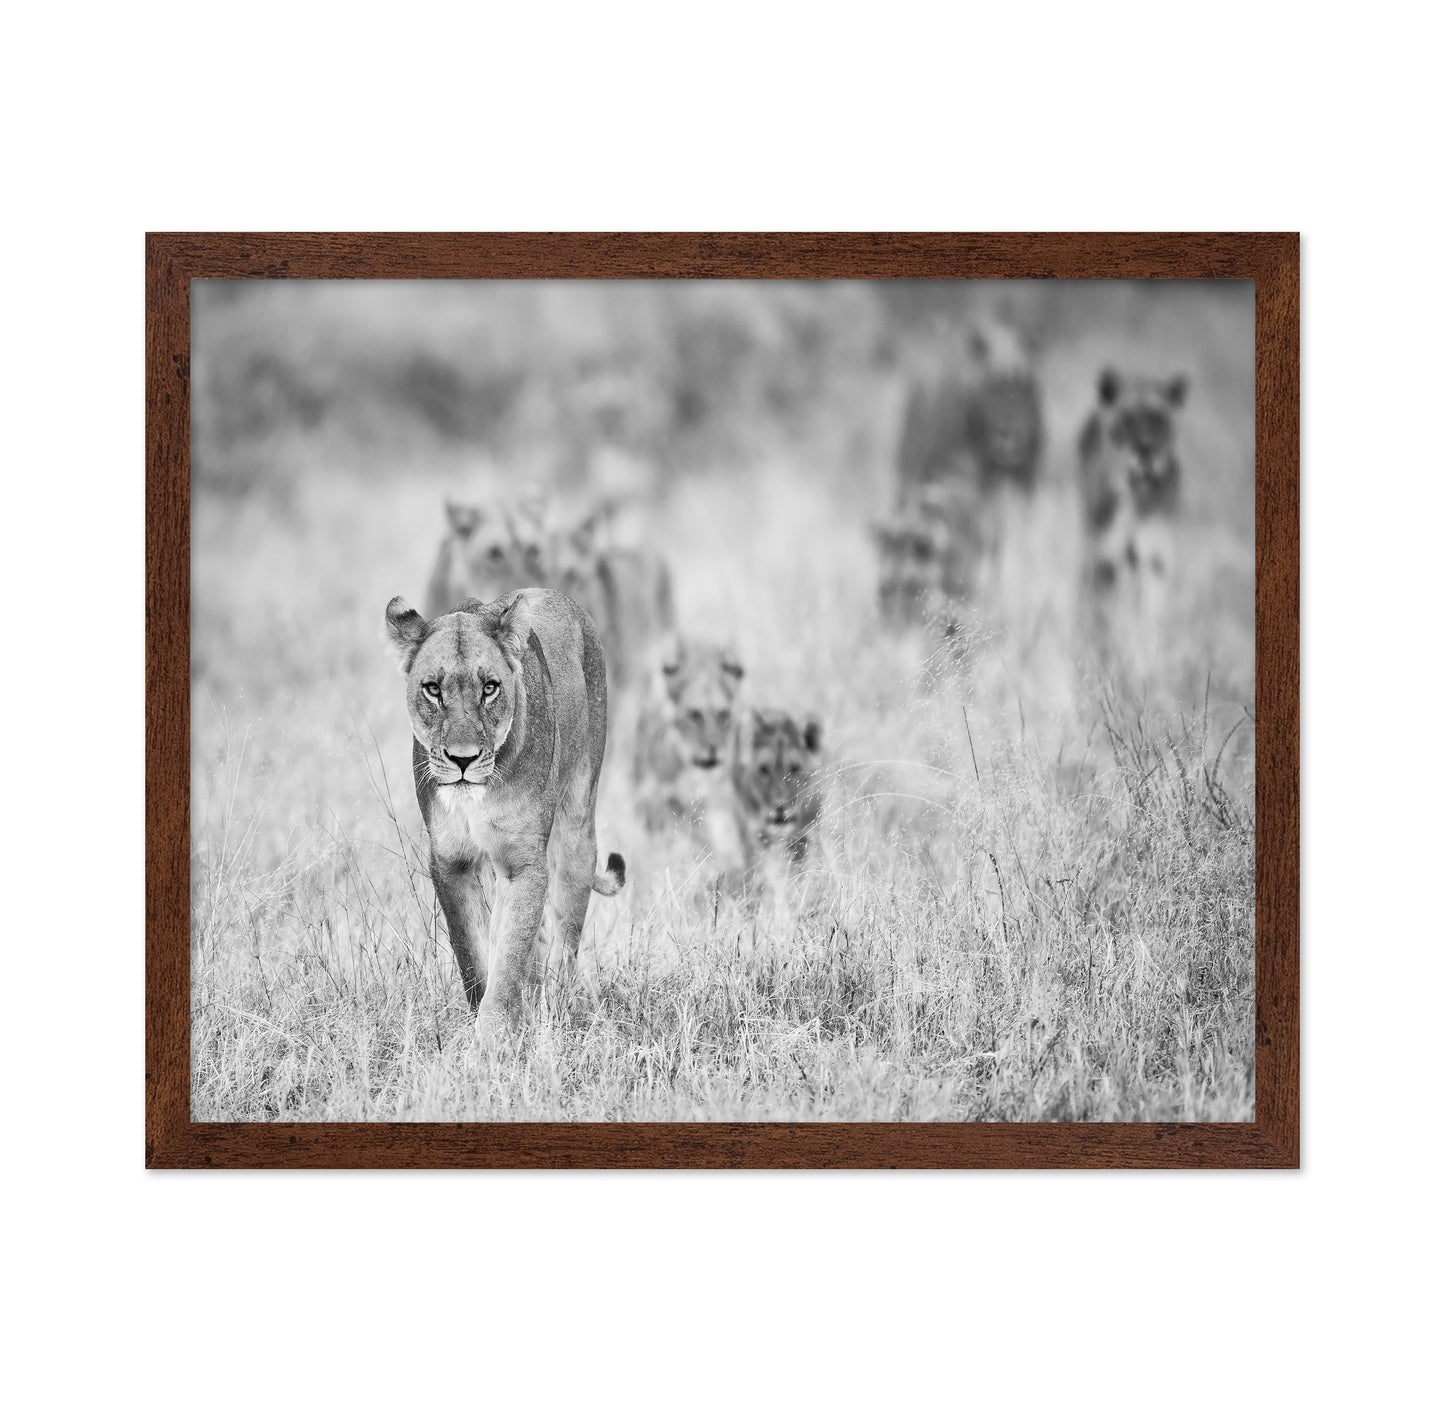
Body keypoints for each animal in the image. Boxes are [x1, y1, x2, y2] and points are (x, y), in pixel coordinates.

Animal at [384, 588, 624, 1036]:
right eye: (432, 689)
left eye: (490, 688)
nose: (462, 759)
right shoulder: (450, 861)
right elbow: (474, 957)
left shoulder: (523, 862)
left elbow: (510, 955)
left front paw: (493, 1040)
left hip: (577, 827)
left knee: (564, 942)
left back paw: (555, 1013)